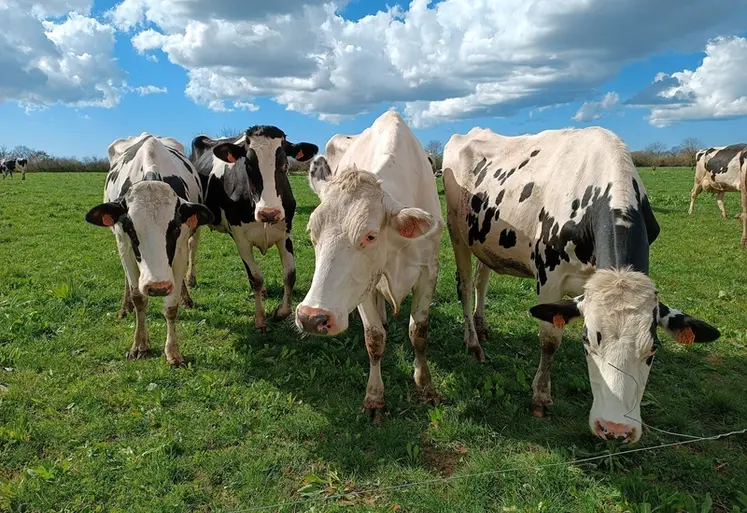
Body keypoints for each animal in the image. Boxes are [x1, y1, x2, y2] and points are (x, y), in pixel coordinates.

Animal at [84, 133, 213, 365]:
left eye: (174, 228)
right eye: (131, 229)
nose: (158, 286)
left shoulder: (180, 248)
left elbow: (171, 306)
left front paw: (172, 351)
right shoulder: (124, 244)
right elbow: (139, 298)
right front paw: (139, 345)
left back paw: (186, 297)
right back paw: (124, 307)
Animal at [190, 126, 318, 329]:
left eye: (284, 165)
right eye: (248, 165)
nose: (269, 213)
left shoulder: (285, 234)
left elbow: (290, 275)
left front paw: (280, 312)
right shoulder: (240, 238)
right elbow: (255, 278)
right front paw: (259, 318)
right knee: (192, 246)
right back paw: (190, 280)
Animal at [295, 110, 444, 423]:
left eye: (370, 236)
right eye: (312, 232)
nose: (311, 317)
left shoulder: (429, 270)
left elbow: (419, 332)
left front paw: (425, 386)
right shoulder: (363, 284)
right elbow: (374, 339)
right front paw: (375, 397)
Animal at [443, 126, 720, 443]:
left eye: (653, 350)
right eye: (588, 341)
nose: (615, 430)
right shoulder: (548, 276)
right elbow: (550, 340)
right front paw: (540, 397)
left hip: (485, 240)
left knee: (482, 280)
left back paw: (482, 326)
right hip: (457, 232)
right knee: (465, 286)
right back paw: (473, 343)